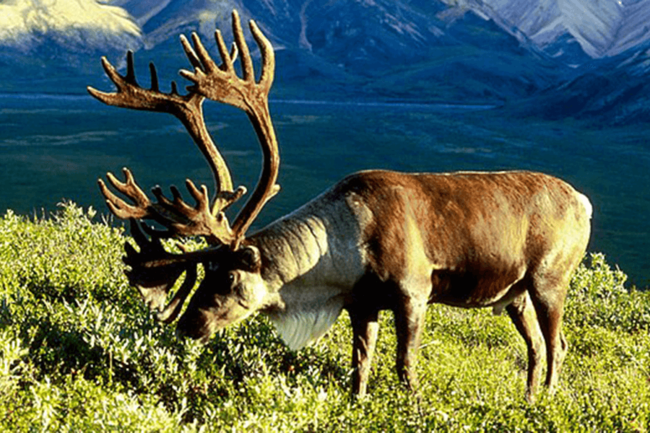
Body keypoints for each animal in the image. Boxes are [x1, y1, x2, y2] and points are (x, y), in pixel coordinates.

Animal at [88, 11, 592, 401]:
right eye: (205, 272)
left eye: (228, 277)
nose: (190, 324)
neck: (340, 252)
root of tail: (583, 201)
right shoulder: (361, 304)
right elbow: (360, 365)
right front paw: (358, 403)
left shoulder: (414, 292)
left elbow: (405, 366)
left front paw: (413, 408)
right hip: (514, 293)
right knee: (537, 346)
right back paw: (527, 401)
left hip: (549, 279)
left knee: (558, 344)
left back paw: (547, 402)